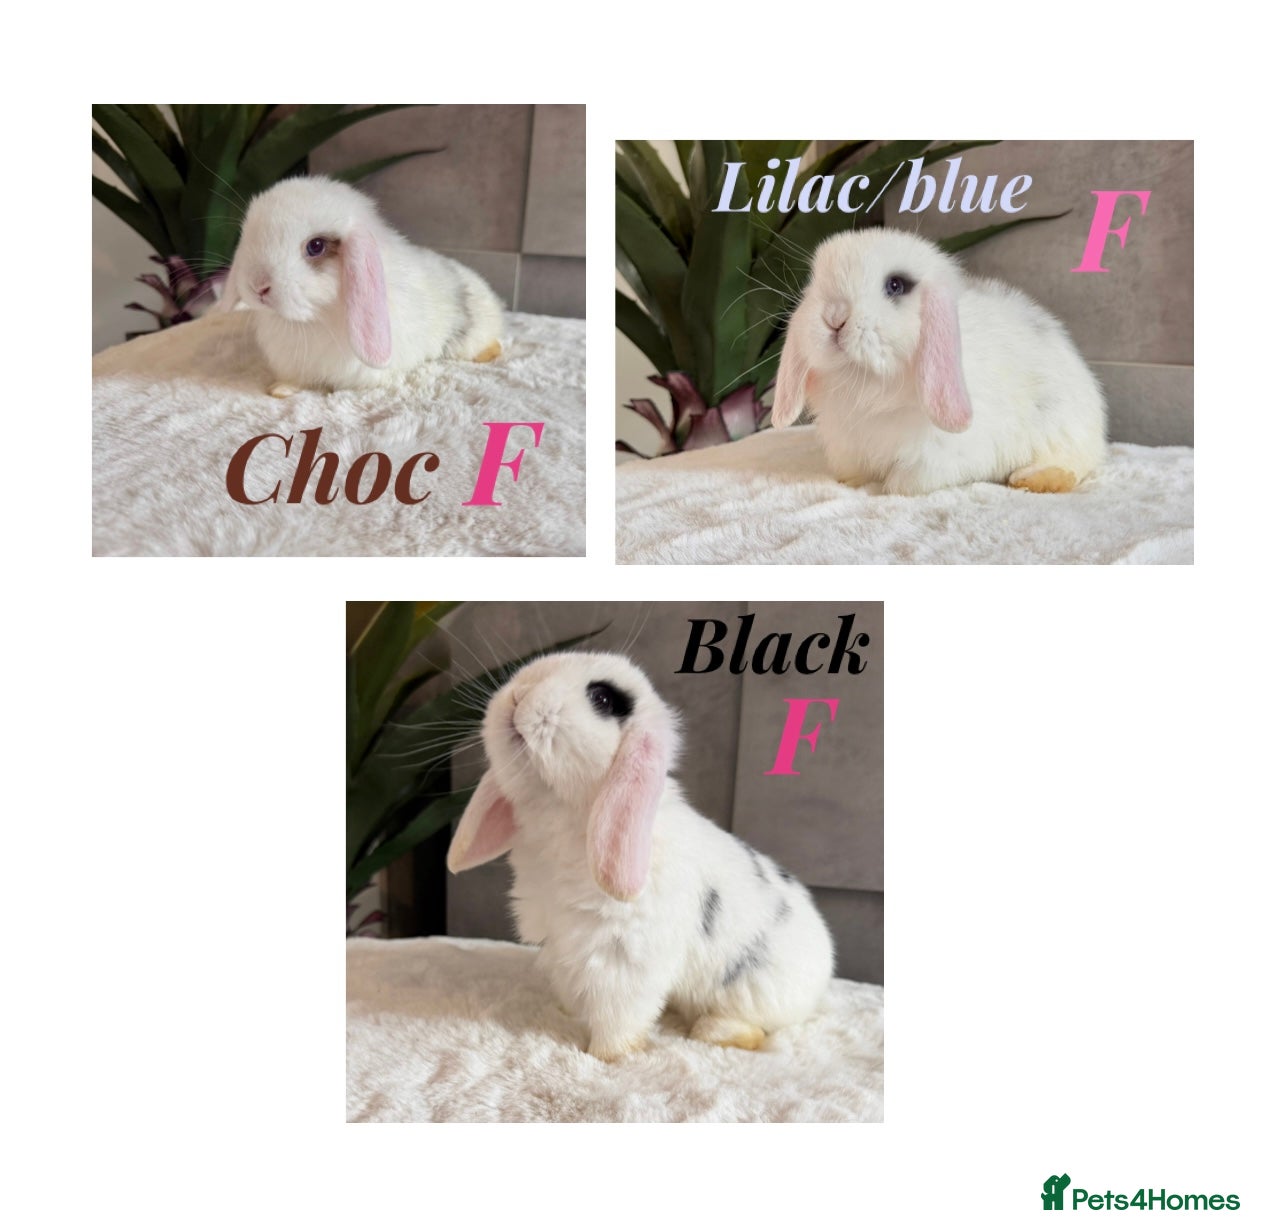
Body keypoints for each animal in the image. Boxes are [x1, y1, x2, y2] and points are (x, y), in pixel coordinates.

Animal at [216, 176, 504, 396]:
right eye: (248, 237)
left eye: (316, 246)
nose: (258, 286)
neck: (311, 322)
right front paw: (279, 390)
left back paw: (490, 353)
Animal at [446, 651, 836, 1062]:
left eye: (603, 698)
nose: (516, 696)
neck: (564, 817)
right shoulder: (562, 944)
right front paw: (565, 1013)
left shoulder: (623, 958)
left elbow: (619, 1017)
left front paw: (606, 1055)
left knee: (753, 1029)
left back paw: (712, 1031)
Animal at [770, 228, 1107, 495]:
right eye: (816, 282)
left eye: (896, 285)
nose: (834, 317)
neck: (867, 383)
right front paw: (852, 483)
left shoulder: (938, 456)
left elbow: (905, 483)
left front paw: (890, 487)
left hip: (1061, 426)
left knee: (1073, 464)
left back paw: (1034, 479)